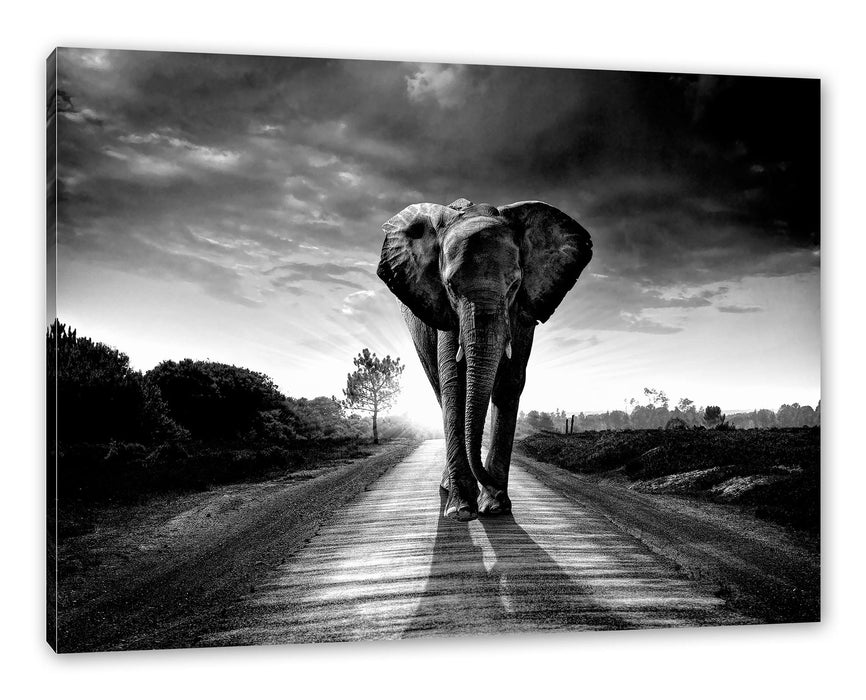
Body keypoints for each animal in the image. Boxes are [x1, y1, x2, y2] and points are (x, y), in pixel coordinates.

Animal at [377, 198, 592, 521]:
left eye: (514, 286)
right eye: (450, 287)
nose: (490, 487)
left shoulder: (524, 309)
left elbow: (510, 383)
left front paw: (495, 507)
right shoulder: (443, 310)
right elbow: (454, 382)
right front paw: (461, 510)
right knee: (439, 389)